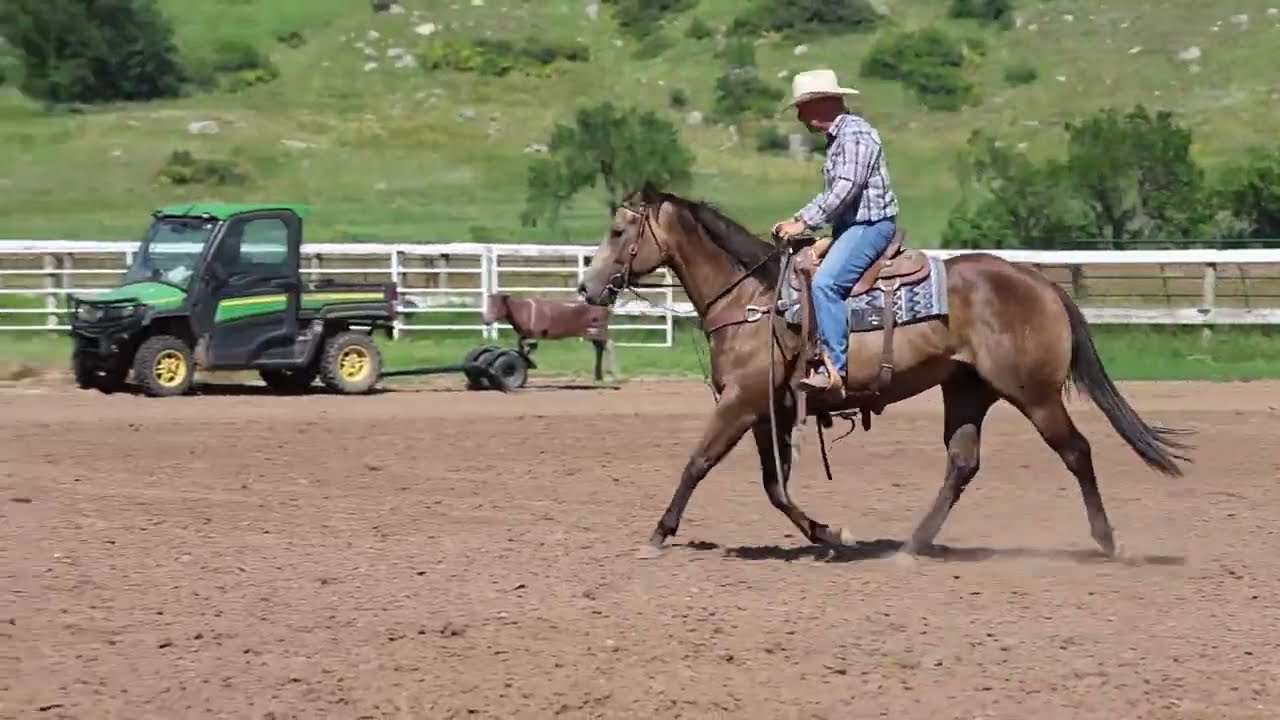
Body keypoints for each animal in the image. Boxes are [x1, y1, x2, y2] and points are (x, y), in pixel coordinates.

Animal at [576, 185, 1192, 560]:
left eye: (618, 231)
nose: (586, 287)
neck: (755, 301)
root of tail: (1039, 282)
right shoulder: (768, 411)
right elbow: (776, 488)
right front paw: (832, 535)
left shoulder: (741, 402)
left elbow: (698, 463)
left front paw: (658, 534)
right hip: (967, 391)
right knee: (962, 464)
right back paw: (910, 547)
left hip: (1033, 394)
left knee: (1076, 451)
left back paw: (1106, 541)